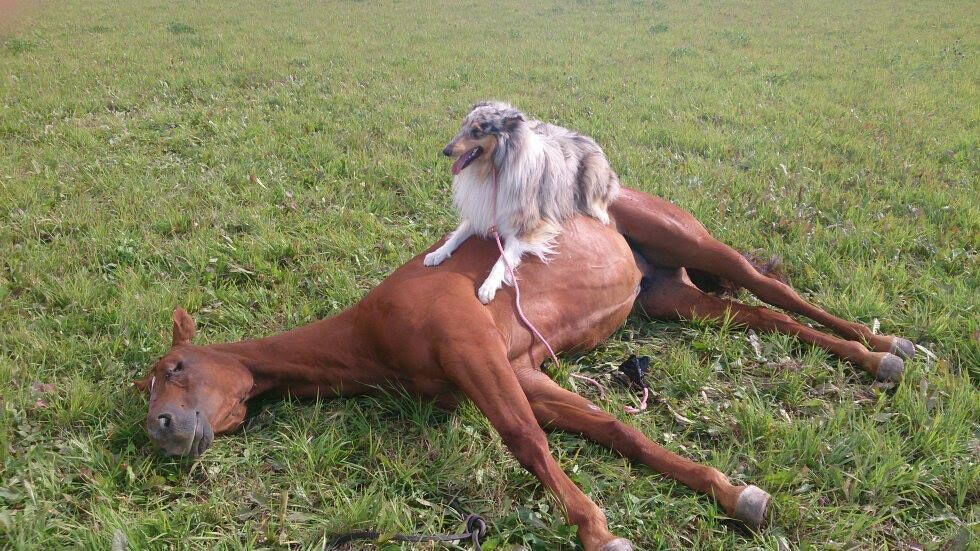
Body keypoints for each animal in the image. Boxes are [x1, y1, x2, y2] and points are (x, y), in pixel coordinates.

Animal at [134, 187, 913, 551]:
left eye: (175, 366)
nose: (160, 429)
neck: (372, 328)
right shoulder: (522, 370)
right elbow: (616, 432)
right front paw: (732, 492)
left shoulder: (478, 355)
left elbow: (525, 442)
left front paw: (598, 531)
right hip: (676, 297)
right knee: (765, 317)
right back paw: (874, 356)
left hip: (691, 243)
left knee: (776, 291)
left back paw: (888, 350)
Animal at [425, 101, 620, 303]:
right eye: (463, 125)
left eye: (477, 131)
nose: (445, 151)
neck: (493, 170)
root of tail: (586, 137)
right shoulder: (483, 213)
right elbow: (457, 235)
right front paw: (437, 253)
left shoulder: (527, 226)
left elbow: (502, 259)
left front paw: (488, 286)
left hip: (592, 172)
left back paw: (601, 214)